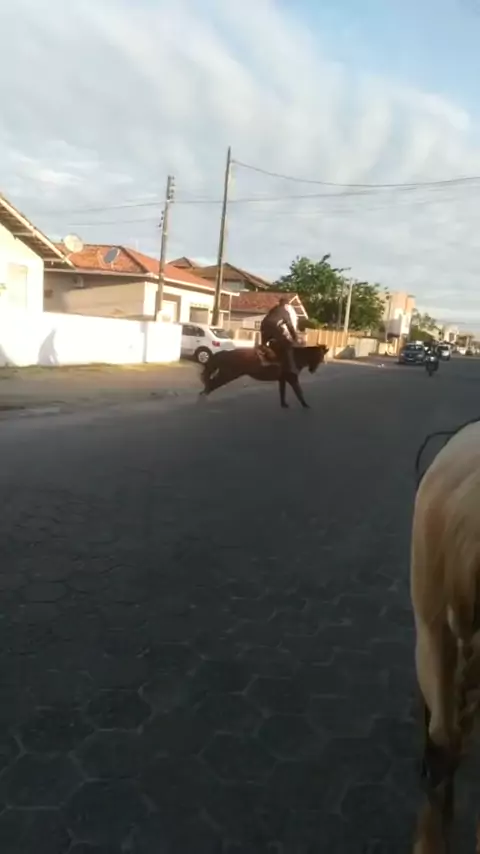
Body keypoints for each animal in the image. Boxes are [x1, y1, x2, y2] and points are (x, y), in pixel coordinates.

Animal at [199, 344, 329, 409]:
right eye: (319, 356)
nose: (312, 370)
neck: (295, 357)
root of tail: (225, 353)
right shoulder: (292, 378)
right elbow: (299, 391)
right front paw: (305, 405)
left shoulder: (282, 379)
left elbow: (282, 392)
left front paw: (284, 404)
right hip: (227, 374)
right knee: (211, 384)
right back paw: (202, 398)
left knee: (210, 383)